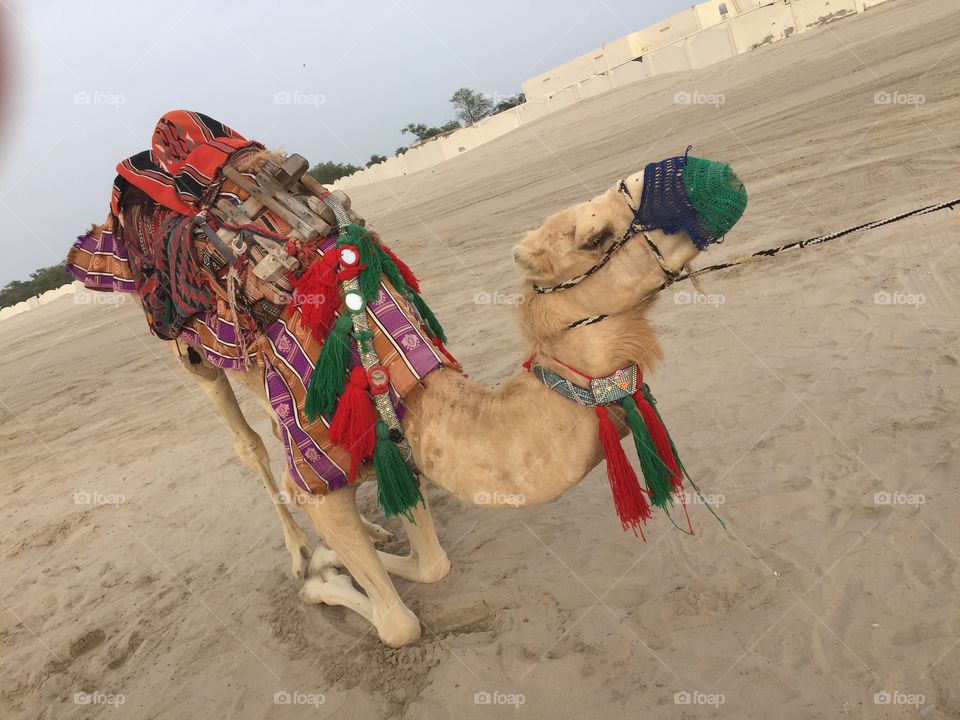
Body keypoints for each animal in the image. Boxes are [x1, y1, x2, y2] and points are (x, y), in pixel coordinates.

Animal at [145, 153, 744, 647]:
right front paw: (318, 575)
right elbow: (399, 626)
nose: (716, 174)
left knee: (271, 427)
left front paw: (349, 554)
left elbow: (432, 564)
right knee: (249, 444)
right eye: (594, 237)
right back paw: (298, 552)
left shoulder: (399, 442)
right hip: (193, 358)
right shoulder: (320, 474)